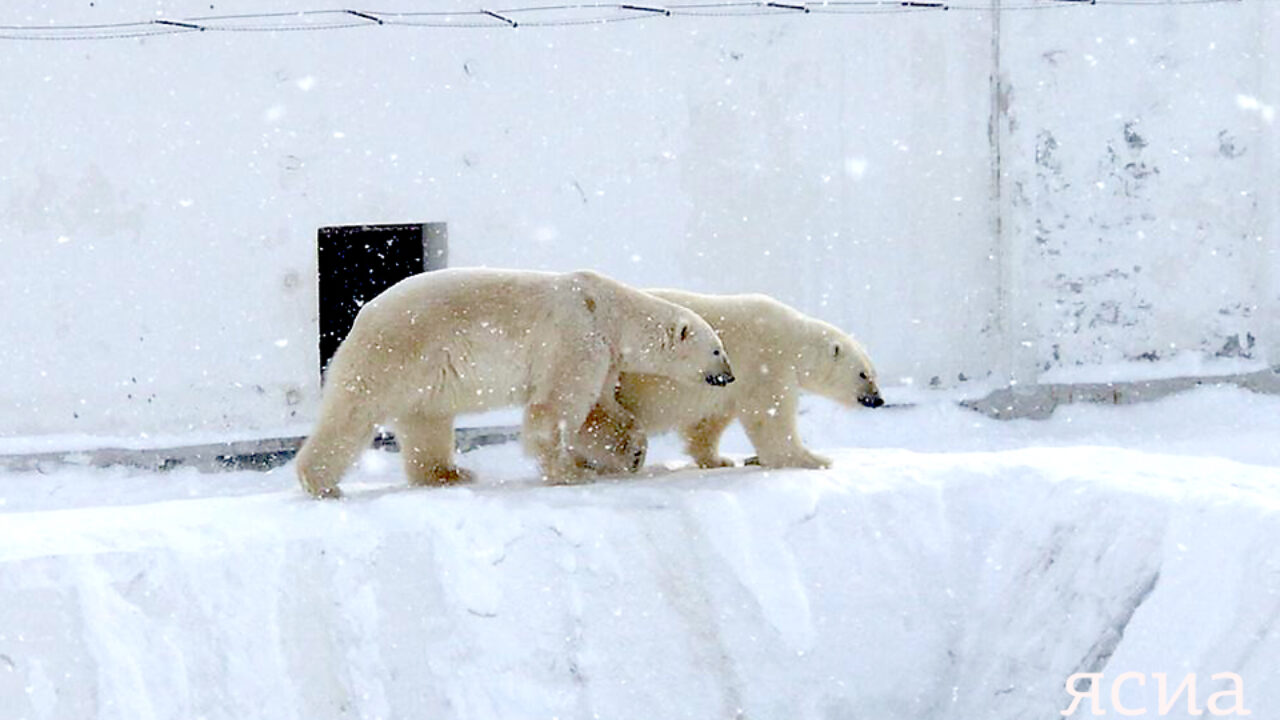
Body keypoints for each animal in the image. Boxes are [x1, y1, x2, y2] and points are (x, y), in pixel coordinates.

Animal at [295, 266, 737, 497]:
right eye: (717, 349)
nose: (729, 375)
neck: (608, 309)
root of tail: (361, 315)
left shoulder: (604, 353)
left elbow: (599, 410)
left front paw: (633, 451)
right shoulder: (578, 337)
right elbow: (556, 405)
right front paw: (569, 473)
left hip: (423, 379)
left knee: (427, 424)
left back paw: (448, 474)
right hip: (394, 355)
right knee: (351, 414)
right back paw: (320, 483)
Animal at [576, 286, 885, 471]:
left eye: (874, 372)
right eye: (863, 373)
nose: (878, 399)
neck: (792, 337)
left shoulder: (723, 380)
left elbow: (709, 422)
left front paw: (718, 459)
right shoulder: (765, 362)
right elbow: (770, 416)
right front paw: (811, 458)